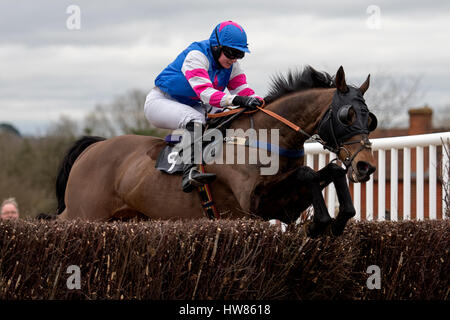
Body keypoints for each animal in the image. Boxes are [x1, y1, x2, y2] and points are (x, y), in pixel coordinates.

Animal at [51, 66, 376, 238]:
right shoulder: (254, 203)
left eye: (370, 118)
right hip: (84, 214)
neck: (265, 137)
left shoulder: (281, 206)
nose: (365, 166)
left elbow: (330, 171)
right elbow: (309, 173)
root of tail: (92, 147)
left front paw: (337, 221)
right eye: (347, 116)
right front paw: (320, 223)